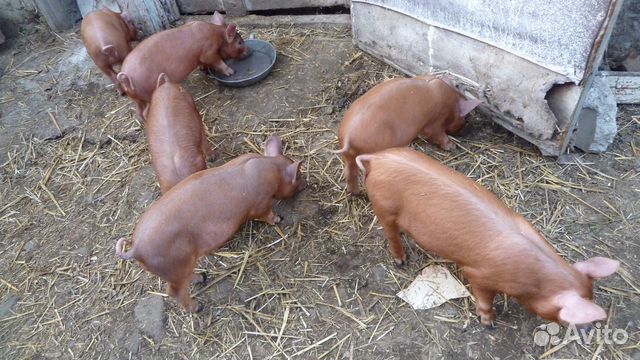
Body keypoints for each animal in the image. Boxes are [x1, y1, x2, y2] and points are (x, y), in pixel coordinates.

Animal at [115, 136, 302, 312]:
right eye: (299, 177)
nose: (304, 185)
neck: (270, 168)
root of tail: (135, 248)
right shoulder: (261, 204)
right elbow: (267, 215)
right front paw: (279, 219)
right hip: (175, 266)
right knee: (173, 291)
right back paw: (198, 306)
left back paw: (203, 277)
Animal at [117, 11, 250, 116]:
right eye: (239, 42)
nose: (250, 51)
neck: (217, 36)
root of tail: (126, 77)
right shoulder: (208, 52)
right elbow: (217, 62)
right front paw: (232, 72)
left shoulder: (200, 58)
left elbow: (203, 64)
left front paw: (205, 70)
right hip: (148, 93)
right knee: (145, 111)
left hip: (136, 98)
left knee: (139, 111)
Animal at [336, 75, 480, 194]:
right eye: (466, 118)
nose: (468, 132)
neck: (450, 99)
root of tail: (348, 138)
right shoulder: (434, 123)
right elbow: (438, 135)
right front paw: (452, 147)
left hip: (348, 156)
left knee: (349, 172)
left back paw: (355, 193)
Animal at [356, 148, 620, 328]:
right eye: (567, 314)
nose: (586, 328)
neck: (533, 278)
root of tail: (376, 159)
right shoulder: (479, 274)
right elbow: (484, 298)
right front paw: (489, 322)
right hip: (384, 208)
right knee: (390, 234)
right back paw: (402, 261)